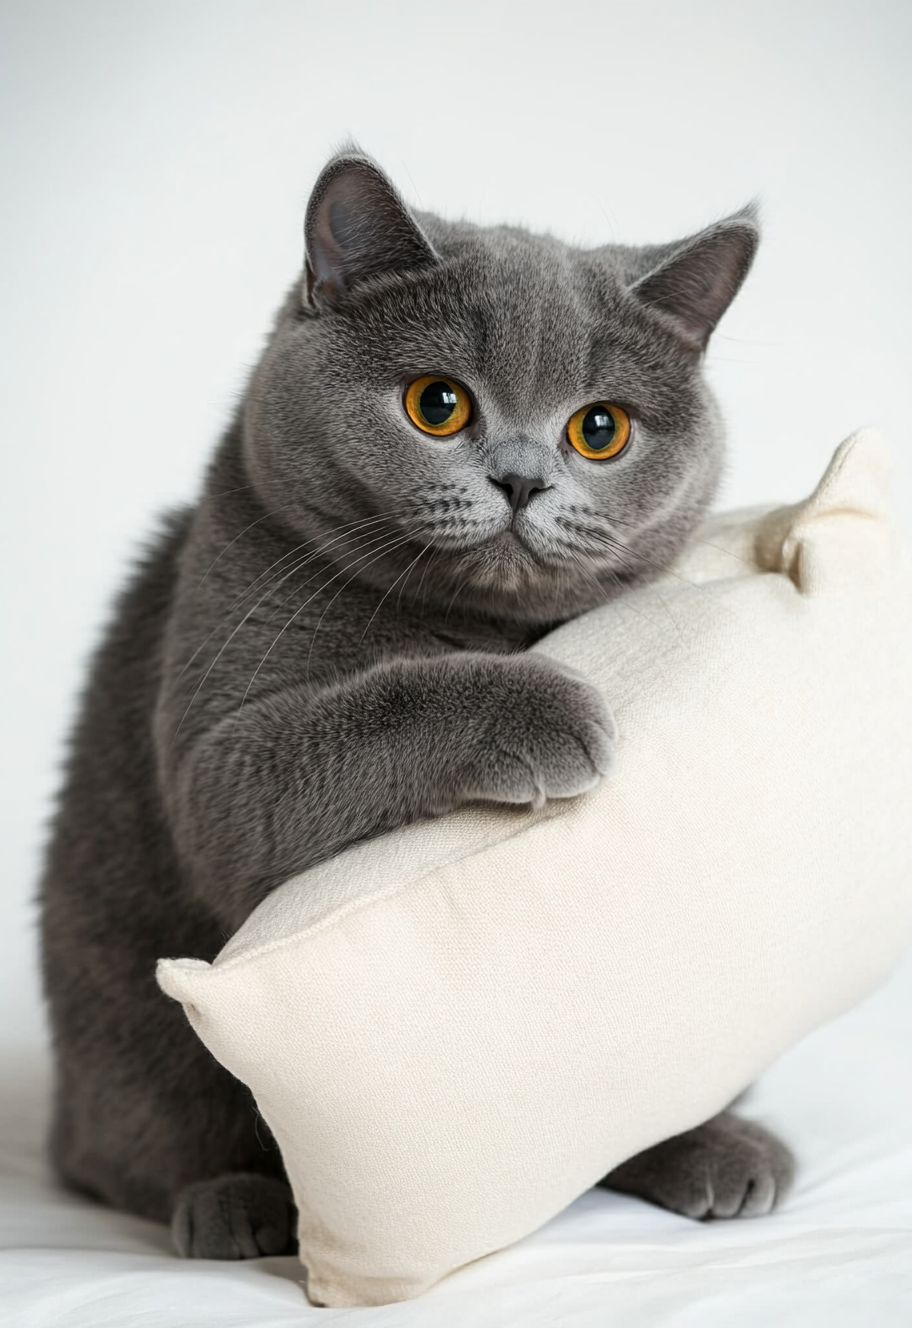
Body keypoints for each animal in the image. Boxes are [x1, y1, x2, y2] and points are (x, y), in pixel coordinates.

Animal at [39, 150, 791, 1258]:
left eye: (598, 429)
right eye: (437, 404)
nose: (521, 478)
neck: (478, 621)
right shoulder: (222, 755)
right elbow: (349, 726)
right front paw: (545, 712)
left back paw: (717, 1149)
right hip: (122, 1034)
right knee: (129, 1148)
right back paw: (233, 1204)